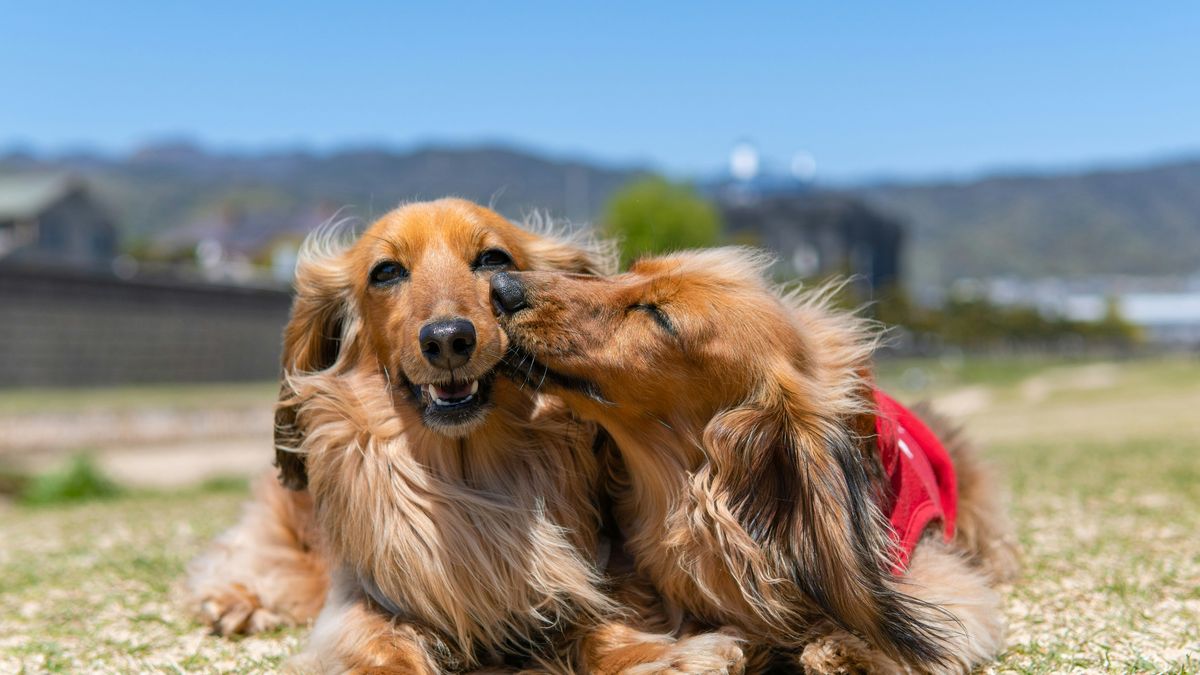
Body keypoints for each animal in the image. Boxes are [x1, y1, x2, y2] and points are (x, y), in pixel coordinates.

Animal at [184, 200, 748, 672]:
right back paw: (234, 600)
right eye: (386, 271)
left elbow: (600, 627)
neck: (467, 473)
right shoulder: (363, 600)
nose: (448, 339)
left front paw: (663, 657)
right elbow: (378, 647)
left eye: (493, 260)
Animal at [492, 248, 1017, 672]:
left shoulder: (934, 576)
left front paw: (845, 650)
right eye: (627, 272)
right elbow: (596, 636)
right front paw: (682, 657)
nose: (500, 286)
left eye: (660, 316)